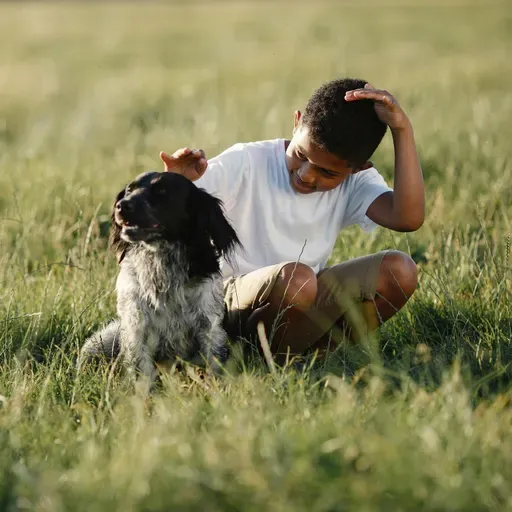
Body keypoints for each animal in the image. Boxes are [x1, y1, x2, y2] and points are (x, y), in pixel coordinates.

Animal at [79, 170, 241, 386]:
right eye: (129, 190)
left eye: (162, 191)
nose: (121, 205)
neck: (160, 262)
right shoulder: (136, 325)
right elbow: (141, 371)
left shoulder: (209, 325)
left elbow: (214, 363)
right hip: (101, 342)